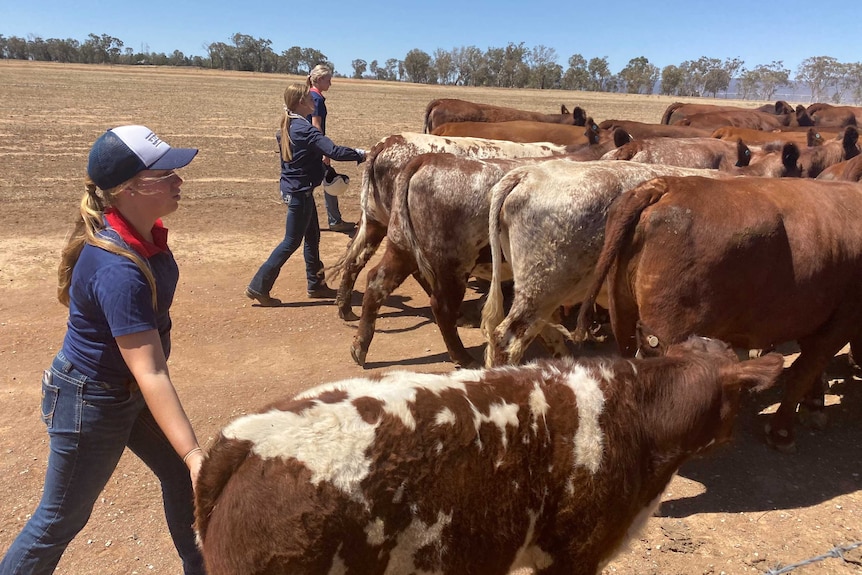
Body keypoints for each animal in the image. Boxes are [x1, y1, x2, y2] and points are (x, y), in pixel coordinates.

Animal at [576, 176, 862, 450]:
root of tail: (665, 184)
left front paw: (814, 403)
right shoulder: (843, 319)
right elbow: (805, 371)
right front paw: (782, 431)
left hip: (621, 314)